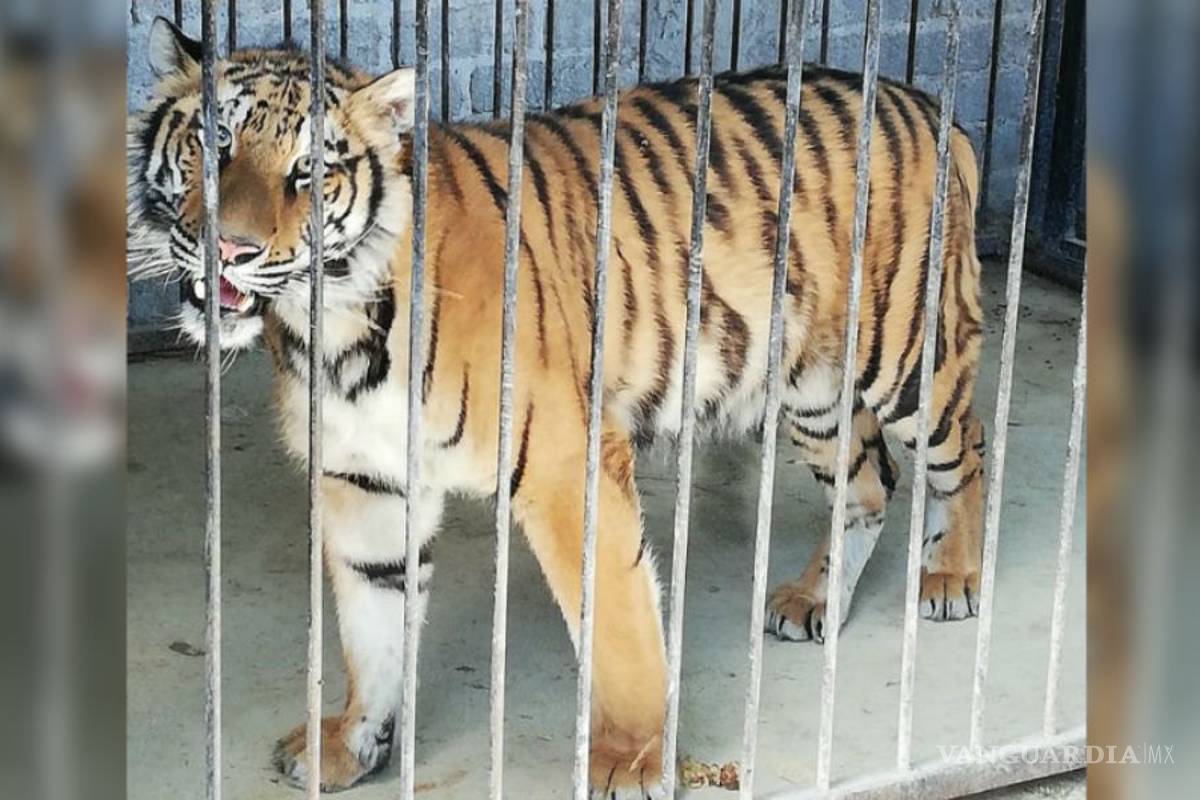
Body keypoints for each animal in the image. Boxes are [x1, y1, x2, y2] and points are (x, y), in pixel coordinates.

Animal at [128, 16, 986, 798]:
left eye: (308, 171)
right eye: (214, 143)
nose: (229, 247)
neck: (335, 324)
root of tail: (926, 101)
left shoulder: (566, 462)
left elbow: (619, 625)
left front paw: (633, 763)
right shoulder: (366, 479)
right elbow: (371, 625)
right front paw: (350, 744)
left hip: (907, 357)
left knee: (965, 451)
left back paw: (951, 578)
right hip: (811, 384)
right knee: (869, 480)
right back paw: (814, 600)